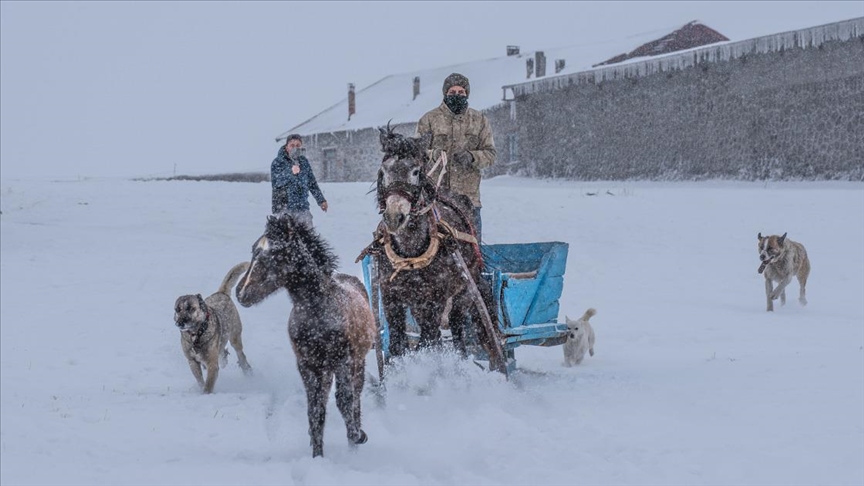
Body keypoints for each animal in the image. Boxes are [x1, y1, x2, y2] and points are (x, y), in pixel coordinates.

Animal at [235, 215, 376, 458]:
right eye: (254, 249)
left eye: (276, 252)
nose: (241, 293)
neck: (317, 312)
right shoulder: (307, 365)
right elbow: (316, 409)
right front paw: (317, 455)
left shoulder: (343, 360)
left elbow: (345, 400)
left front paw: (358, 437)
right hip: (325, 370)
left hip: (357, 363)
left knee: (355, 395)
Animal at [370, 124, 506, 372]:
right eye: (384, 171)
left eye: (415, 171)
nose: (394, 217)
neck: (410, 255)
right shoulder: (391, 296)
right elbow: (397, 346)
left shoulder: (436, 299)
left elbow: (428, 341)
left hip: (463, 291)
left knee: (456, 327)